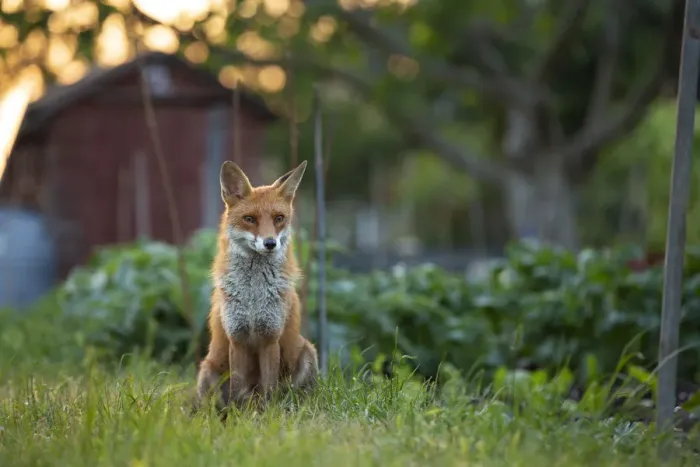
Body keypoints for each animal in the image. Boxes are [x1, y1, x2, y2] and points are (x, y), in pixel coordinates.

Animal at [196, 160, 319, 409]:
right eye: (250, 219)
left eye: (279, 218)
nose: (270, 243)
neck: (254, 295)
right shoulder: (237, 338)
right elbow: (237, 391)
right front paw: (238, 416)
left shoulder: (270, 338)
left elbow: (269, 390)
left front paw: (268, 414)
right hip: (208, 371)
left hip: (307, 353)